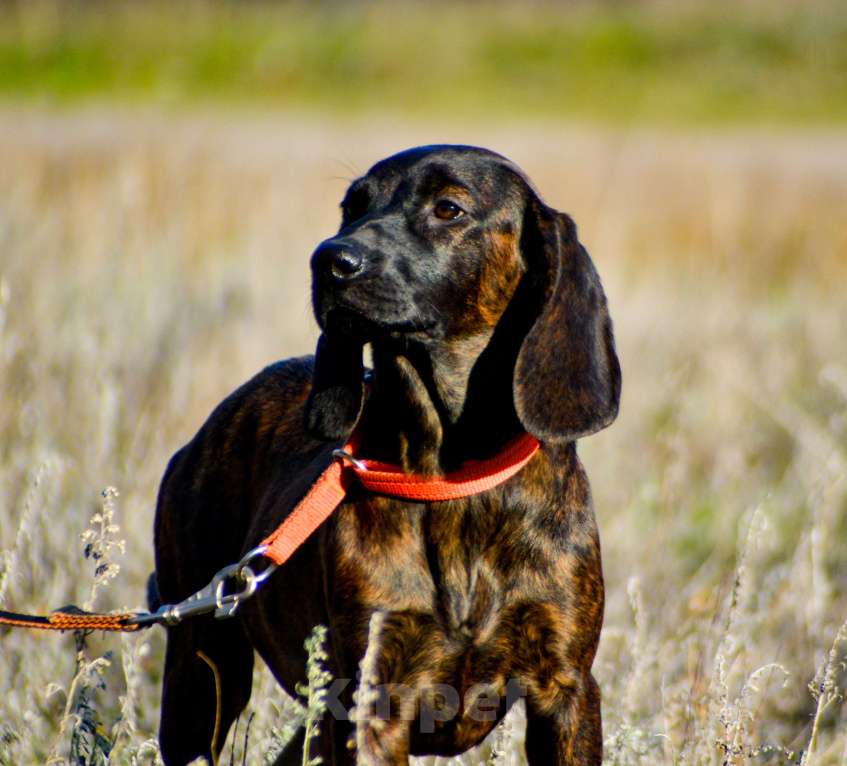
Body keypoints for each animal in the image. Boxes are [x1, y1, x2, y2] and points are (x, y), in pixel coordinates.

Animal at [152, 146, 620, 766]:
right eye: (353, 206)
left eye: (448, 208)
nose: (330, 260)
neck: (453, 479)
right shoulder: (371, 699)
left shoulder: (566, 691)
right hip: (202, 671)